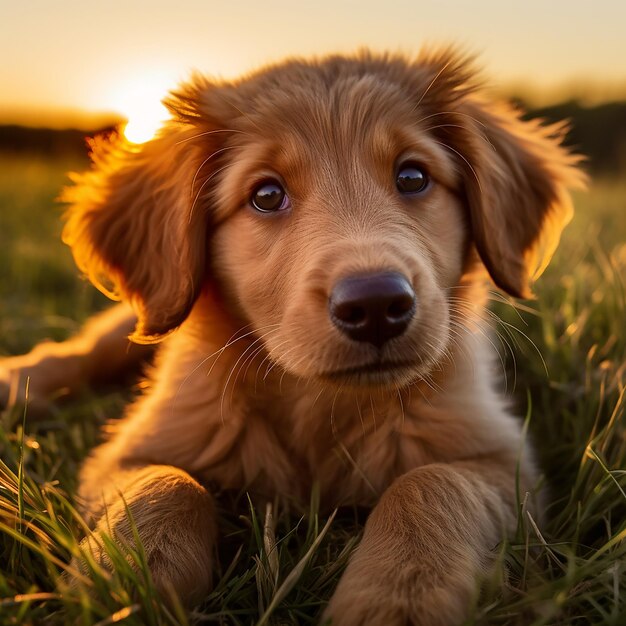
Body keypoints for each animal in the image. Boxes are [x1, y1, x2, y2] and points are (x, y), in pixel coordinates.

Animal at [2, 51, 584, 620]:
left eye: (413, 177)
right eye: (266, 194)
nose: (376, 305)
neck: (319, 401)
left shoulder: (505, 463)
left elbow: (430, 483)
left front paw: (397, 597)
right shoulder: (128, 452)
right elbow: (168, 483)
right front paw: (126, 584)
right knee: (88, 349)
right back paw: (19, 382)